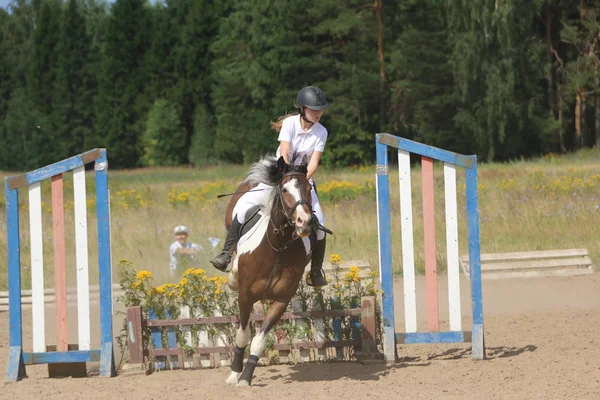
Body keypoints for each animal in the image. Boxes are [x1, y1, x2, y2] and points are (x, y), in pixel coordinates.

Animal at [224, 155, 316, 386]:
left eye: (308, 188)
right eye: (284, 189)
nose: (304, 222)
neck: (277, 247)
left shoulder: (281, 300)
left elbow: (259, 340)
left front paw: (246, 377)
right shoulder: (245, 296)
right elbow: (243, 335)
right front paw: (234, 374)